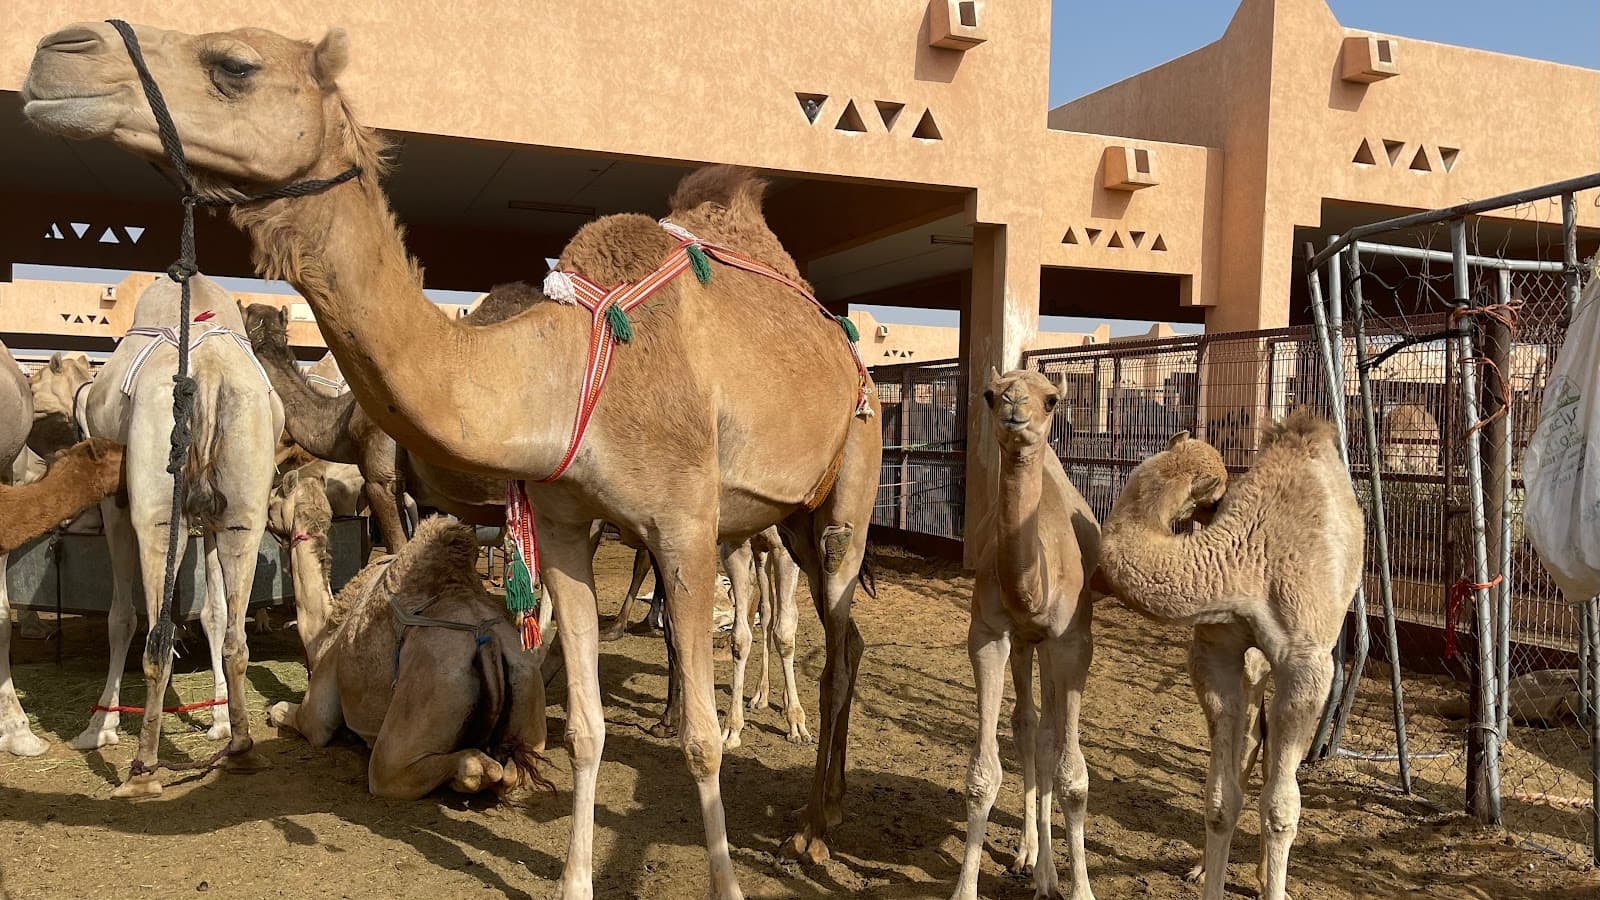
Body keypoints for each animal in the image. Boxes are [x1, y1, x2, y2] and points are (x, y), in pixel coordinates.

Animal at [265, 473, 548, 798]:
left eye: (272, 499)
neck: (323, 631)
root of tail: (490, 645)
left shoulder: (318, 706)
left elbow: (291, 713)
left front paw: (275, 712)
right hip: (529, 688)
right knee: (514, 769)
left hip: (429, 697)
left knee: (407, 768)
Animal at [951, 369, 1099, 900]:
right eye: (991, 395)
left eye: (1052, 400)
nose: (1016, 405)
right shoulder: (989, 634)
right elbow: (982, 774)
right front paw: (964, 889)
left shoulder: (1072, 641)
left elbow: (1074, 777)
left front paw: (1081, 889)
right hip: (1023, 643)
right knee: (1029, 725)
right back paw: (1030, 857)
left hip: (1049, 646)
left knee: (1051, 734)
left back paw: (1047, 874)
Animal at [1093, 411, 1363, 900]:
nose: (1205, 510)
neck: (1248, 559)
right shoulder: (1215, 654)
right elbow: (1221, 797)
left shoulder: (1307, 664)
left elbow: (1281, 808)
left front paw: (1274, 887)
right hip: (1253, 666)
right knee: (1250, 744)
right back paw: (1206, 866)